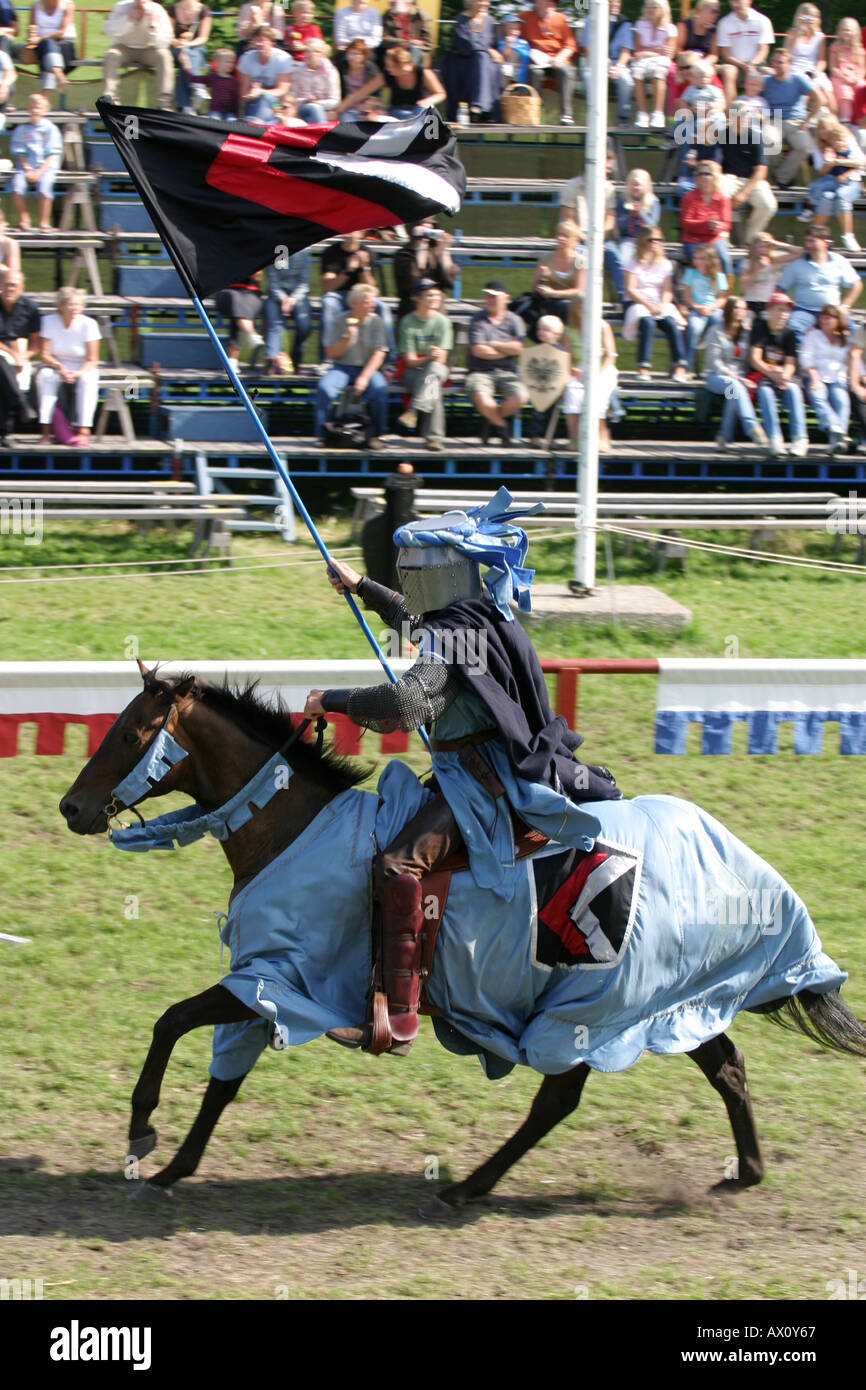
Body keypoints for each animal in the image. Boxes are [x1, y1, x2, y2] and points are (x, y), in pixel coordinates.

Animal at [59, 667, 866, 1212]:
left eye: (131, 734)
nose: (71, 807)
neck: (292, 828)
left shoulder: (275, 979)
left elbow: (171, 1023)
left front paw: (142, 1132)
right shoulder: (266, 982)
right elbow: (222, 1078)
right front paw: (175, 1166)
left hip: (592, 1009)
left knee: (560, 1097)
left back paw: (469, 1186)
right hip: (665, 1001)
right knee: (723, 1066)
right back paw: (745, 1170)